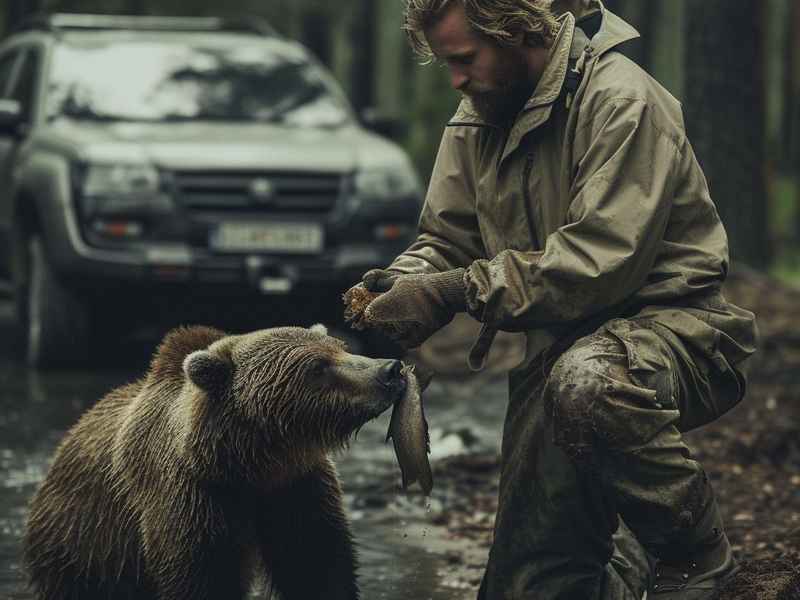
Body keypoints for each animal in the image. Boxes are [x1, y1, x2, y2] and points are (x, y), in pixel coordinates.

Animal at [23, 324, 407, 600]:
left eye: (341, 347)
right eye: (317, 366)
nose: (391, 368)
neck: (254, 463)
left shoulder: (296, 487)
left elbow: (314, 564)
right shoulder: (192, 497)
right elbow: (203, 576)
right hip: (85, 544)